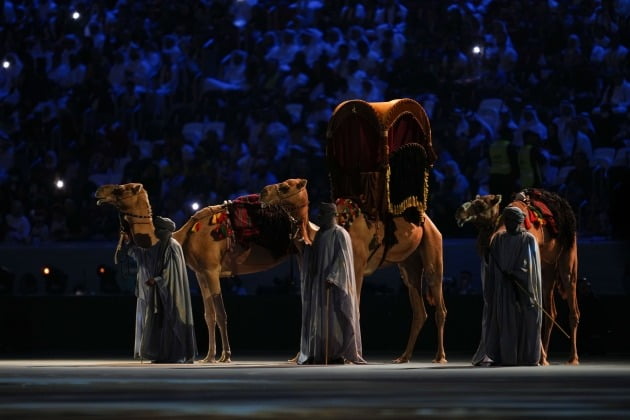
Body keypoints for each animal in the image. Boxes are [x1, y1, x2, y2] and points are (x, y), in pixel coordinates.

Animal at [95, 179, 314, 362]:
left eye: (120, 189)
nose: (99, 191)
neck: (184, 237)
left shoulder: (211, 270)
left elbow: (221, 313)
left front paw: (225, 356)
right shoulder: (200, 273)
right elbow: (209, 315)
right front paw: (208, 357)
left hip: (301, 252)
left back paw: (297, 356)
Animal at [454, 189, 584, 366]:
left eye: (480, 204)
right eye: (474, 200)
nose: (459, 212)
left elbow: (531, 304)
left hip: (568, 257)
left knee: (572, 303)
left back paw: (573, 358)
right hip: (547, 268)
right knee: (551, 311)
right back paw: (544, 359)